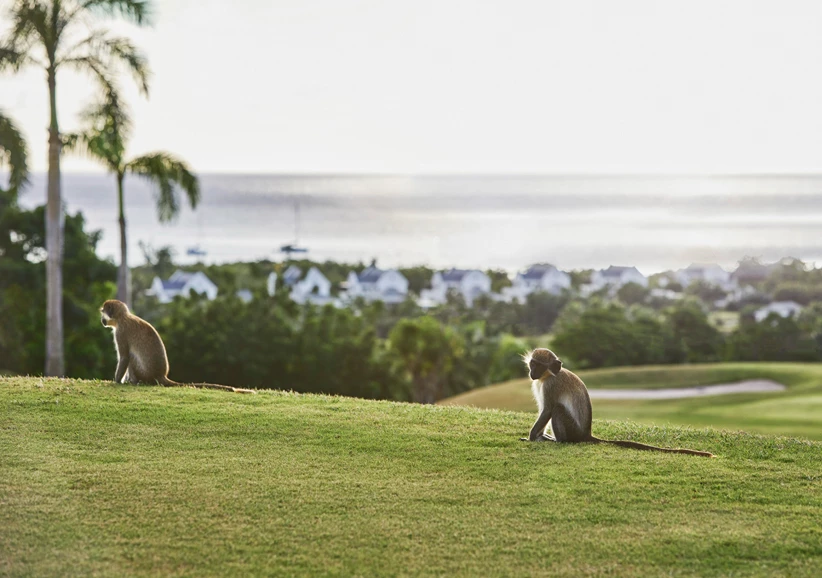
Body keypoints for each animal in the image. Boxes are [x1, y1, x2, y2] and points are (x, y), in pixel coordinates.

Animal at [100, 299, 255, 394]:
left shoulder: (121, 332)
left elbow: (125, 357)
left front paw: (117, 381)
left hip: (144, 373)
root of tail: (160, 374)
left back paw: (134, 382)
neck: (123, 318)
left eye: (103, 313)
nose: (102, 321)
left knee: (132, 358)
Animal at [520, 348, 713, 457]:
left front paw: (532, 437)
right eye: (532, 364)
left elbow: (547, 409)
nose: (532, 372)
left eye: (539, 365)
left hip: (572, 430)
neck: (549, 376)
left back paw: (559, 441)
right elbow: (543, 410)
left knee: (558, 409)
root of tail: (586, 434)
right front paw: (538, 436)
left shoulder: (551, 386)